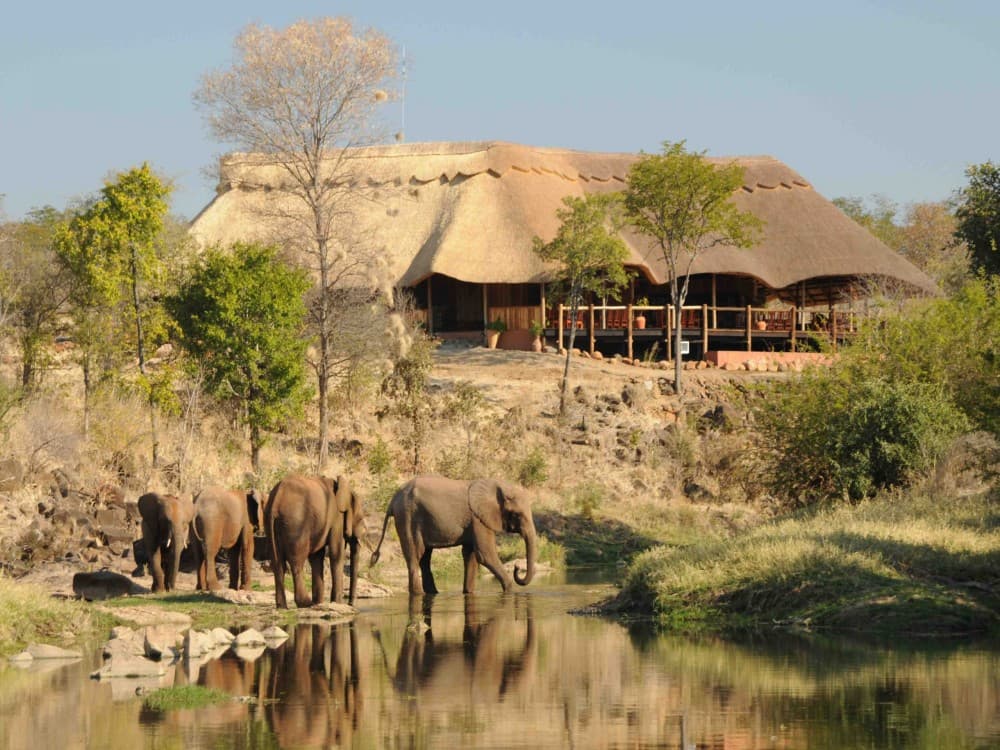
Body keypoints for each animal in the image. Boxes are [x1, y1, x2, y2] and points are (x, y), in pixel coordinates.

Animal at [265, 474, 366, 608]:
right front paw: (337, 603)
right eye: (360, 520)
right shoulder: (337, 518)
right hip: (296, 524)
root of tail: (276, 500)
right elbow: (336, 554)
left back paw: (283, 607)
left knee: (277, 563)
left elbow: (317, 557)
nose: (350, 604)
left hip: (270, 522)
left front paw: (320, 603)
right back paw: (306, 603)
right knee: (297, 562)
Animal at [370, 476, 537, 595]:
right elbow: (485, 554)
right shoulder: (478, 519)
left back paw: (433, 593)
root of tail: (393, 500)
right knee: (415, 556)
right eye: (516, 514)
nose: (516, 567)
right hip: (407, 516)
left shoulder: (473, 521)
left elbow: (471, 555)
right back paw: (418, 594)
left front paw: (468, 592)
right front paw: (509, 591)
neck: (497, 486)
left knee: (425, 557)